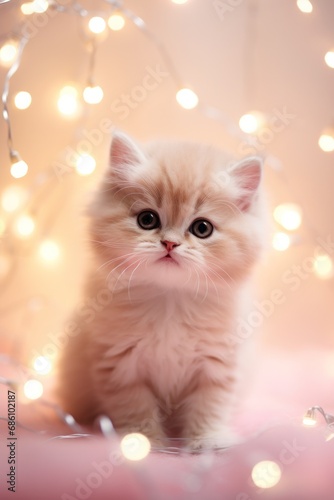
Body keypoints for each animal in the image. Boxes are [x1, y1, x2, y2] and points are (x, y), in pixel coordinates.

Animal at [57, 130, 266, 450]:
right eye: (147, 219)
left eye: (202, 228)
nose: (169, 243)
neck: (170, 300)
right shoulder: (120, 365)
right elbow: (135, 405)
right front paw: (143, 442)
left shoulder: (219, 364)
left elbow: (210, 405)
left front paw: (208, 440)